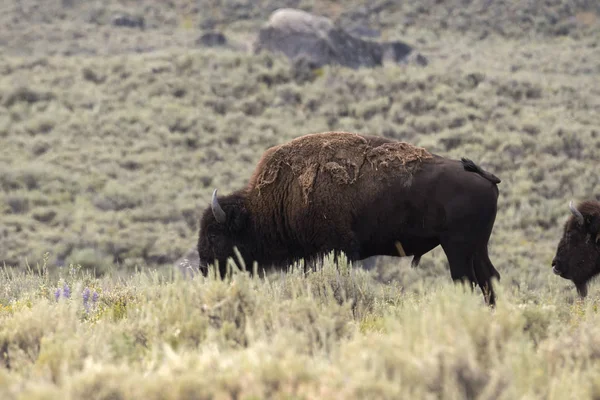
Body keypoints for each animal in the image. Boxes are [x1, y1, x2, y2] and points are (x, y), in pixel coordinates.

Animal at [198, 131, 502, 304]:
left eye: (214, 234)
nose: (203, 268)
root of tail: (483, 176)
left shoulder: (335, 249)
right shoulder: (314, 254)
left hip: (457, 248)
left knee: (466, 281)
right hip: (477, 247)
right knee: (489, 279)